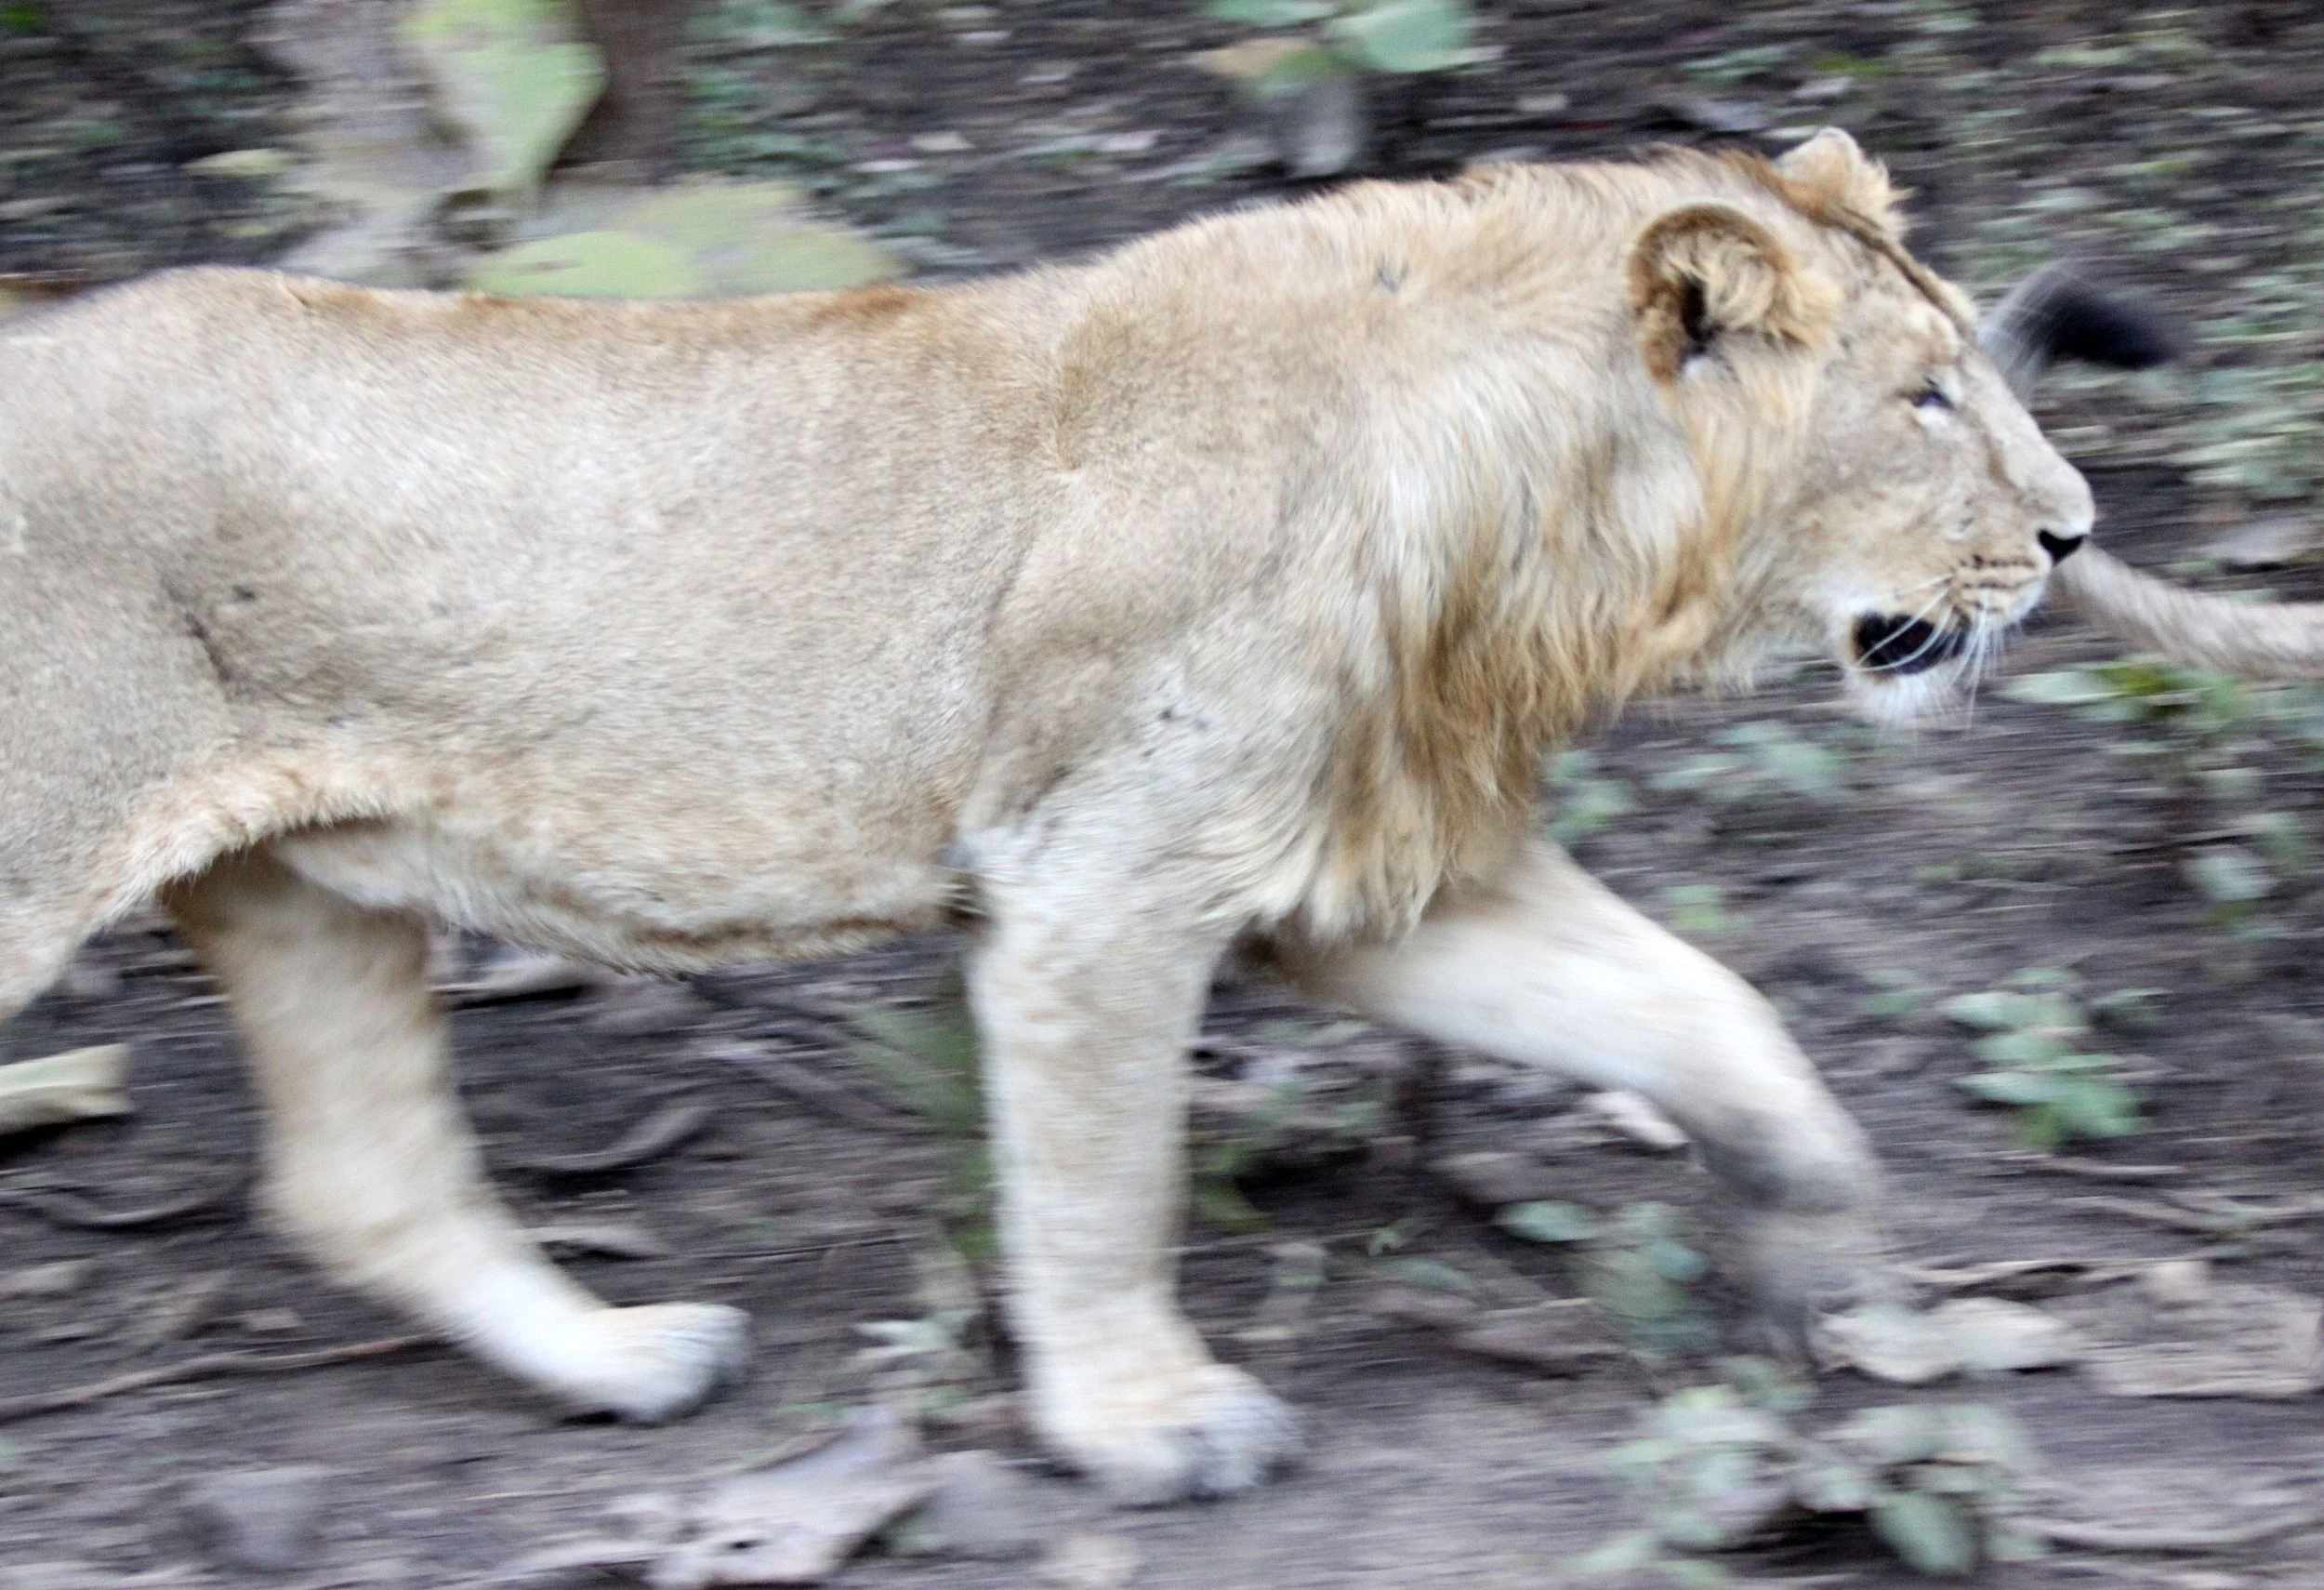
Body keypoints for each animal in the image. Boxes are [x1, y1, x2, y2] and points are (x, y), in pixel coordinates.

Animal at [0, 128, 2092, 1502]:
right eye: (1925, 398)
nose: (2075, 533)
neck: (1526, 536)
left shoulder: (1360, 881)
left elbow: (1703, 1008)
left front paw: (1826, 1256)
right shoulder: (1103, 881)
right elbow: (1102, 1182)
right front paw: (1144, 1425)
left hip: (296, 887)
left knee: (365, 1181)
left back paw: (627, 1360)